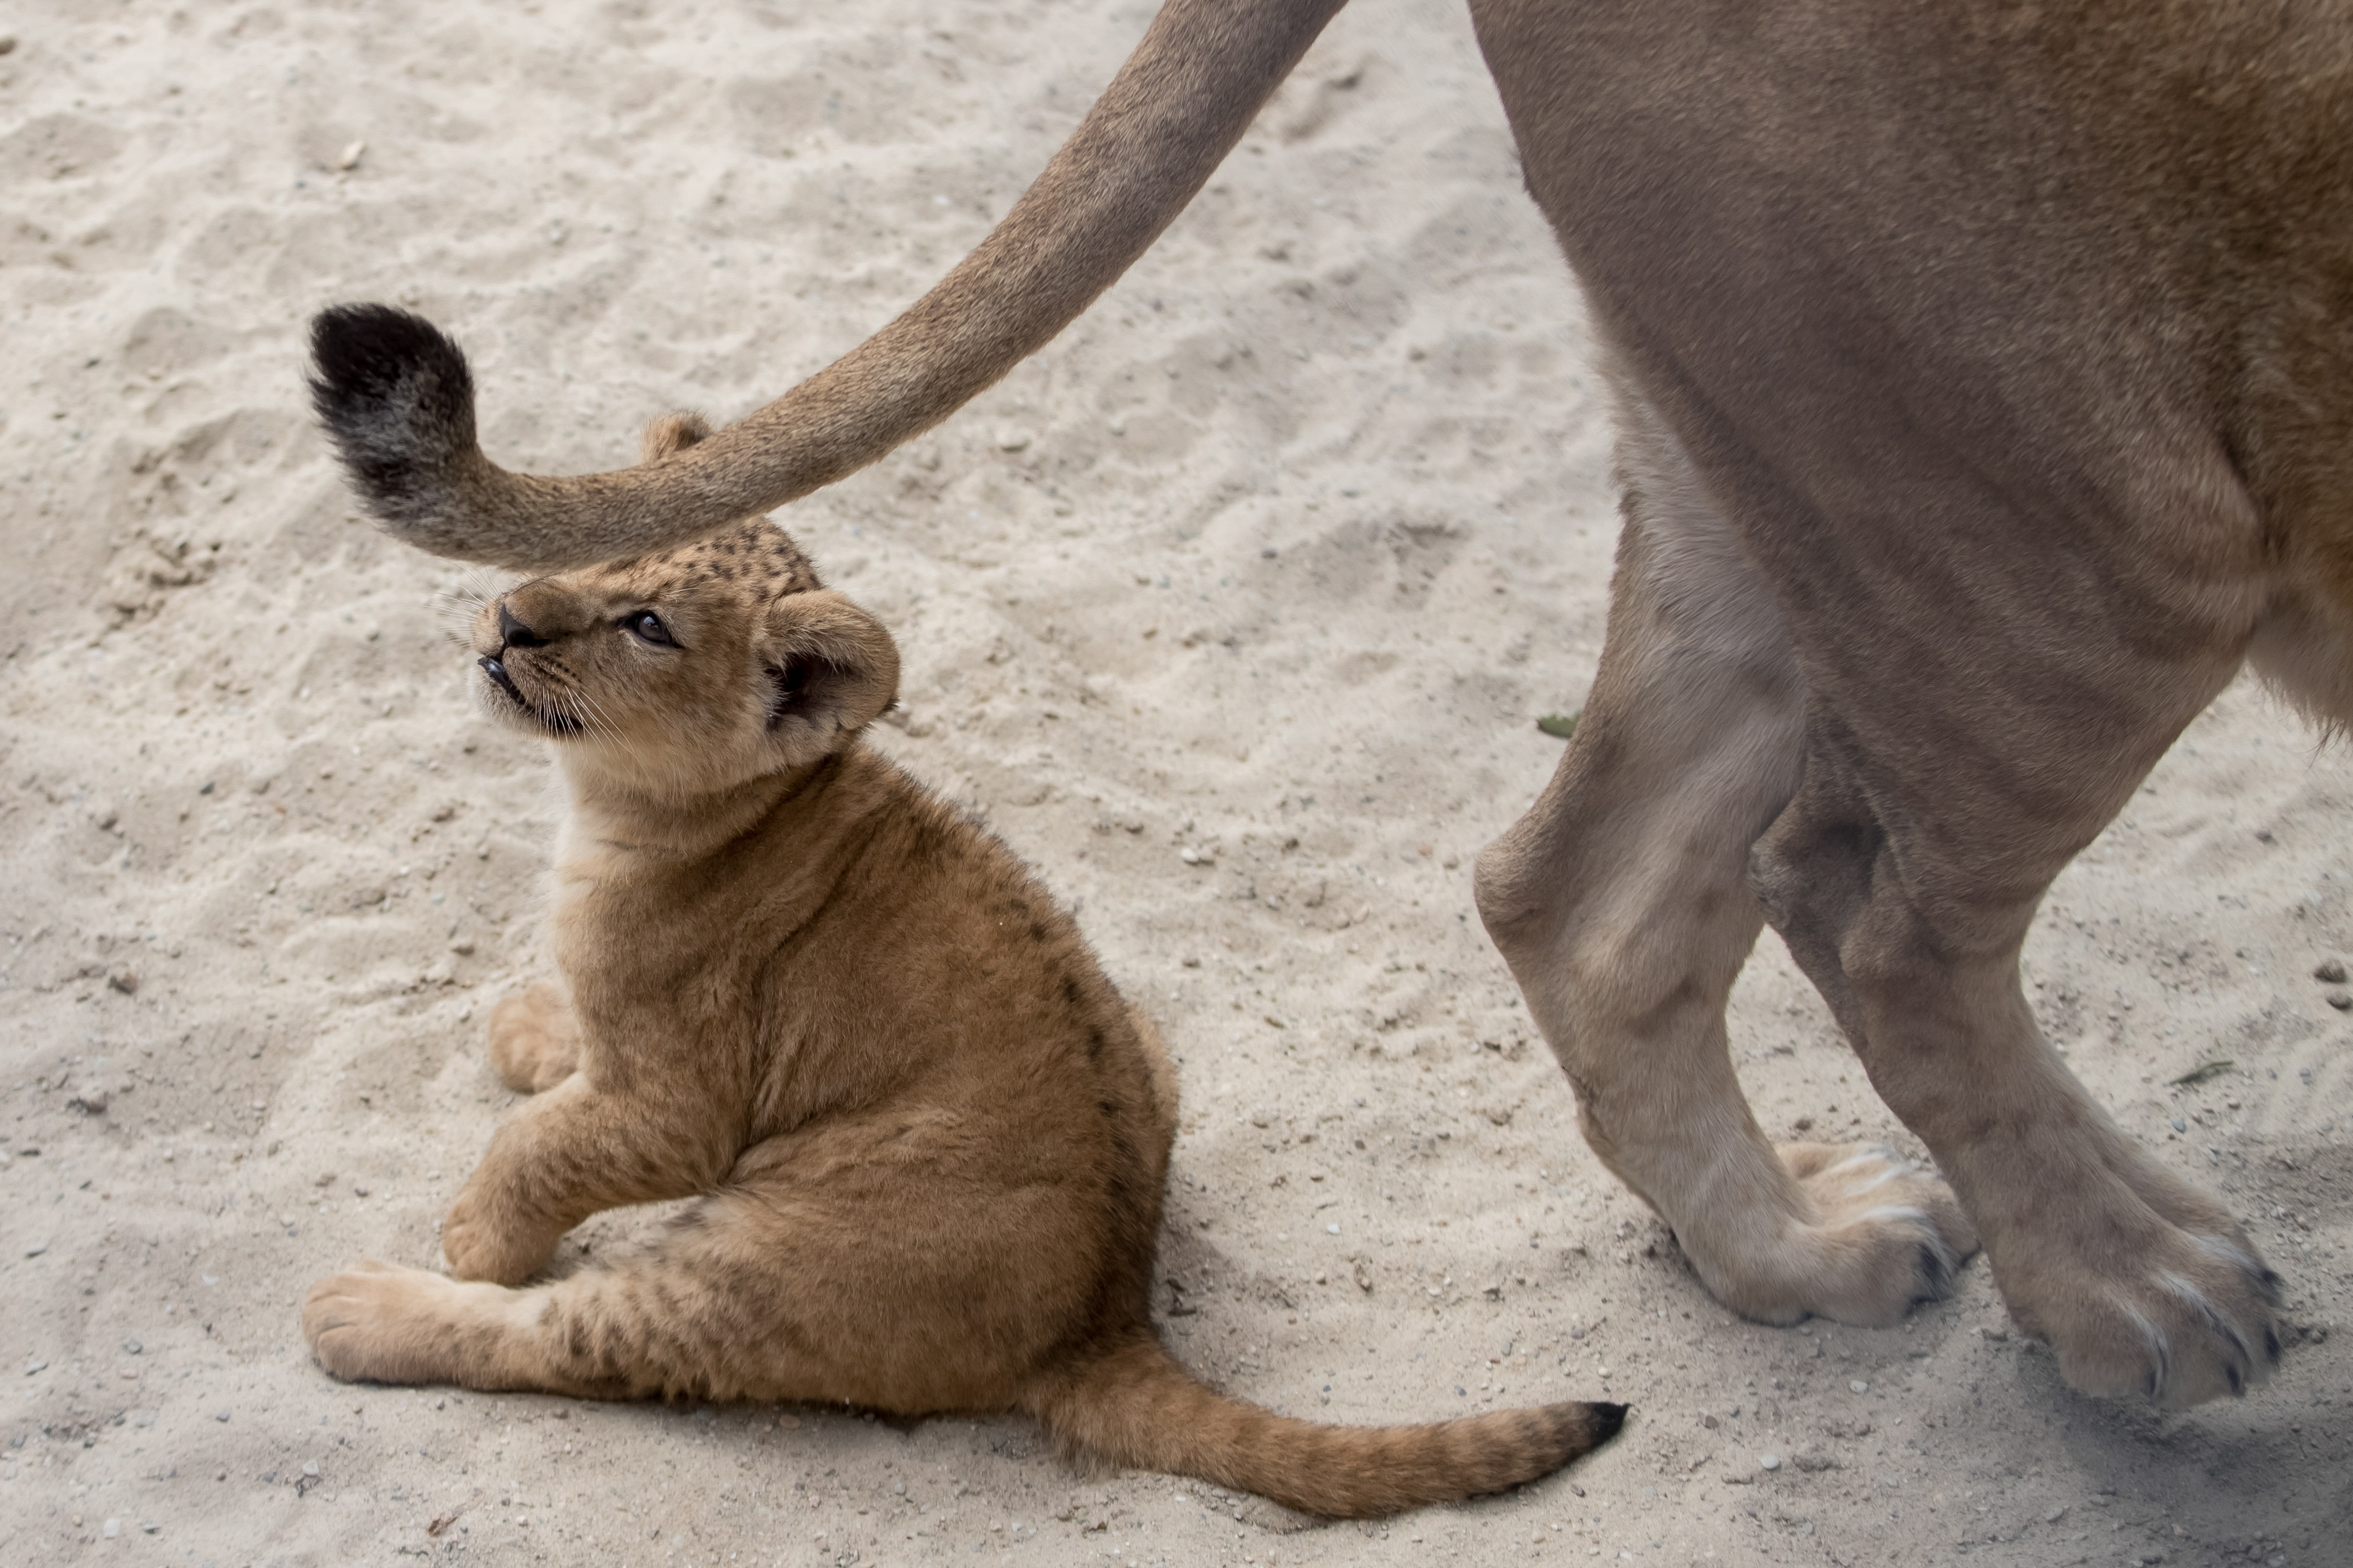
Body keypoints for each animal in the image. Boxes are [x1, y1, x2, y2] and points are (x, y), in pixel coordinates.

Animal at [313, 0, 2353, 1410]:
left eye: (649, 622)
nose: (507, 624)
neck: (628, 825)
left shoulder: (681, 1080)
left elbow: (570, 1128)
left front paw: (496, 1160)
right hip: (2020, 515)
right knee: (1801, 901)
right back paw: (2064, 1281)